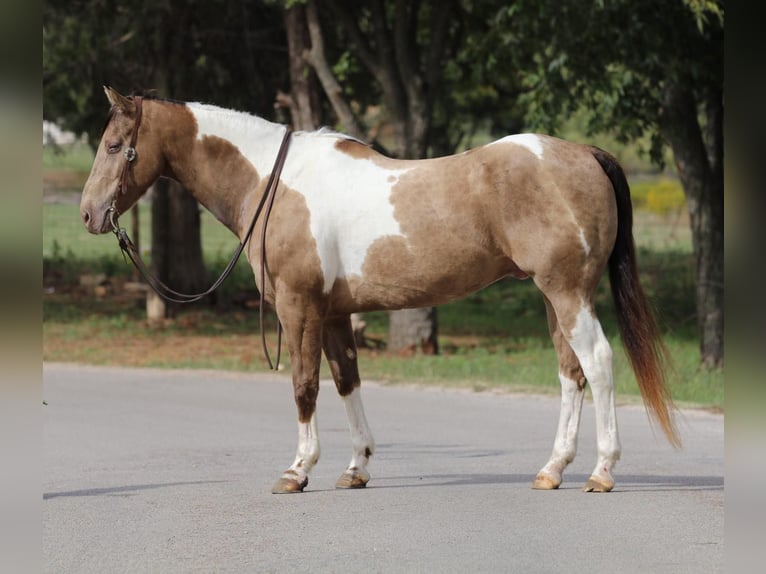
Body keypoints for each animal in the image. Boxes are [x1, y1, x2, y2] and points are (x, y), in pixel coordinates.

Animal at [81, 88, 680, 498]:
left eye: (113, 145)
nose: (89, 214)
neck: (276, 183)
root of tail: (583, 153)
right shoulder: (335, 313)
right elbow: (347, 381)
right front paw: (356, 468)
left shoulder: (300, 308)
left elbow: (304, 386)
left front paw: (297, 470)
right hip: (556, 298)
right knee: (570, 373)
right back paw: (552, 470)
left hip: (567, 292)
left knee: (597, 362)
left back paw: (602, 471)